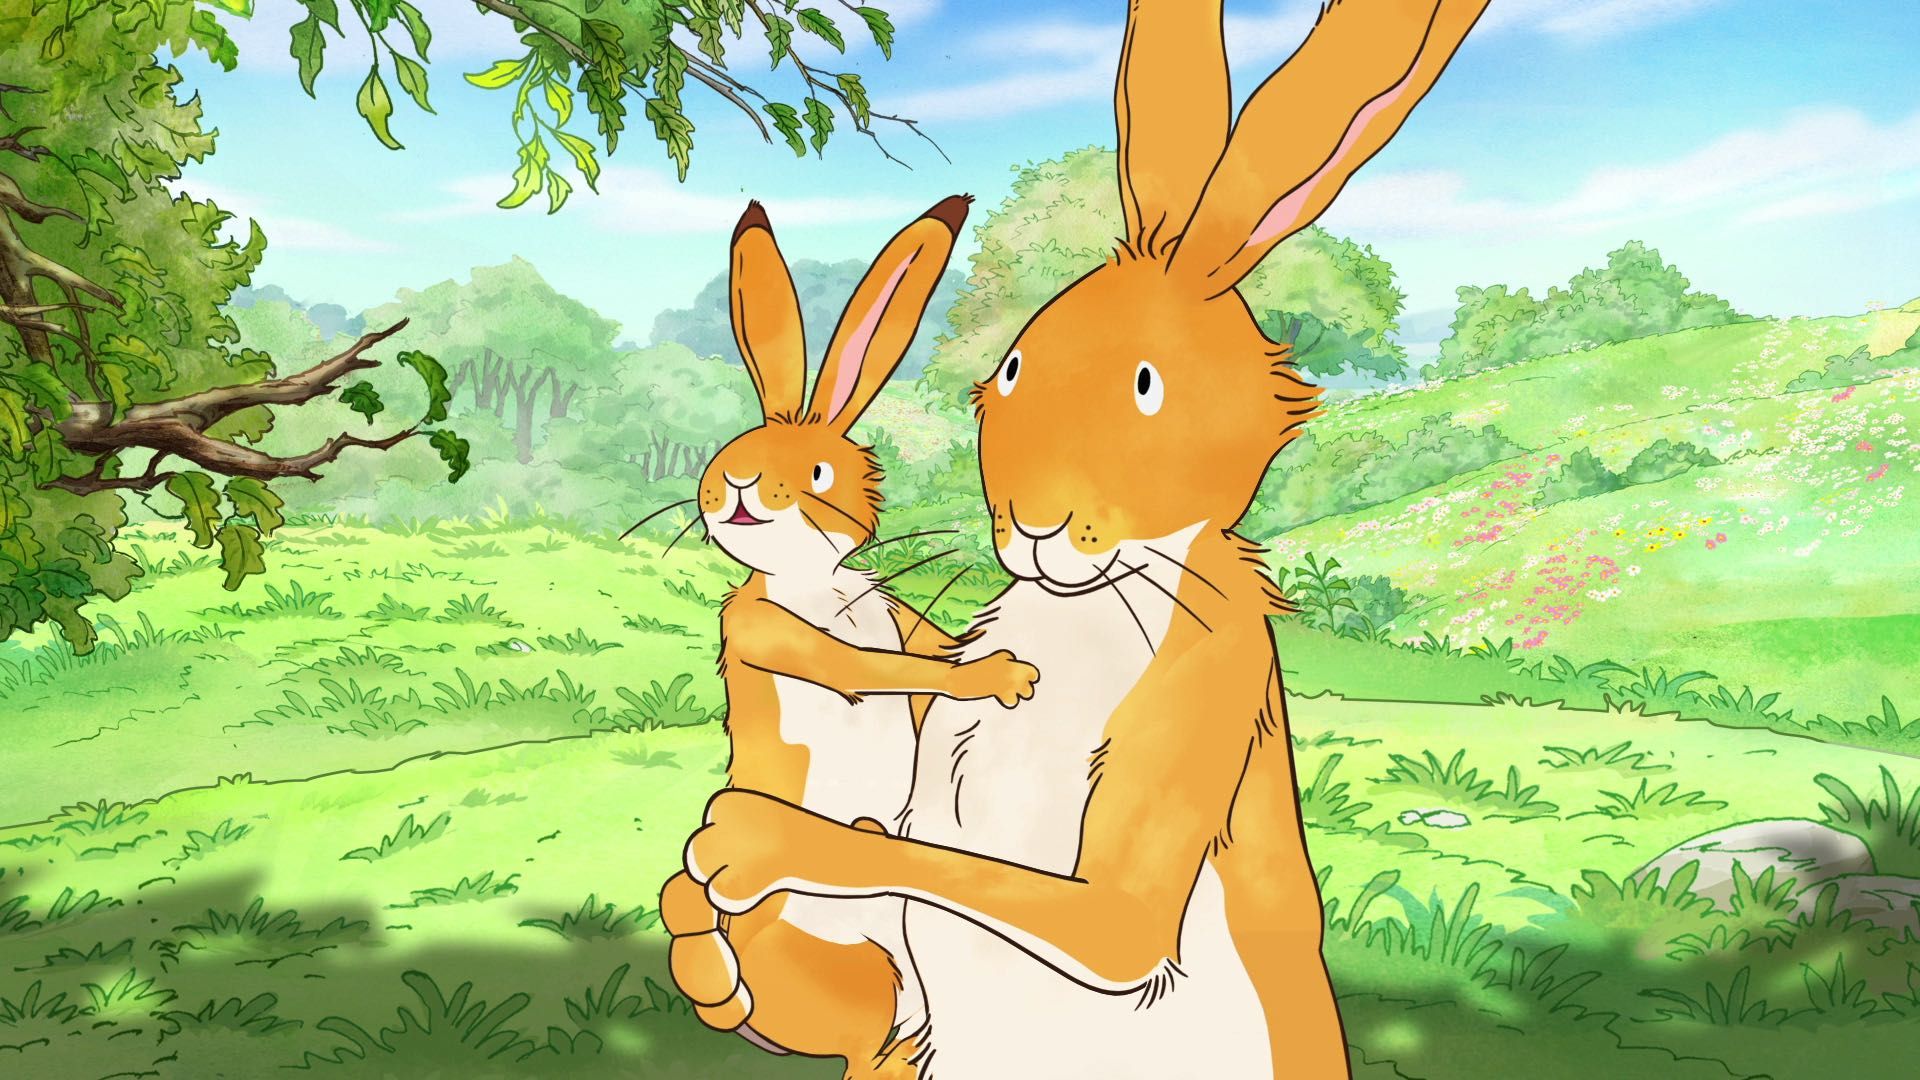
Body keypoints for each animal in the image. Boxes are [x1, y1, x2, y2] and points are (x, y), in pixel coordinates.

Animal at [658, 196, 1040, 1080]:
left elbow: (920, 651)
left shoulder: (893, 616)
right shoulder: (768, 630)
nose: (733, 485)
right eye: (730, 455)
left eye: (821, 473)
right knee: (868, 1053)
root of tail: (747, 1002)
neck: (815, 585)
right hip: (856, 973)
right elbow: (865, 668)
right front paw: (997, 677)